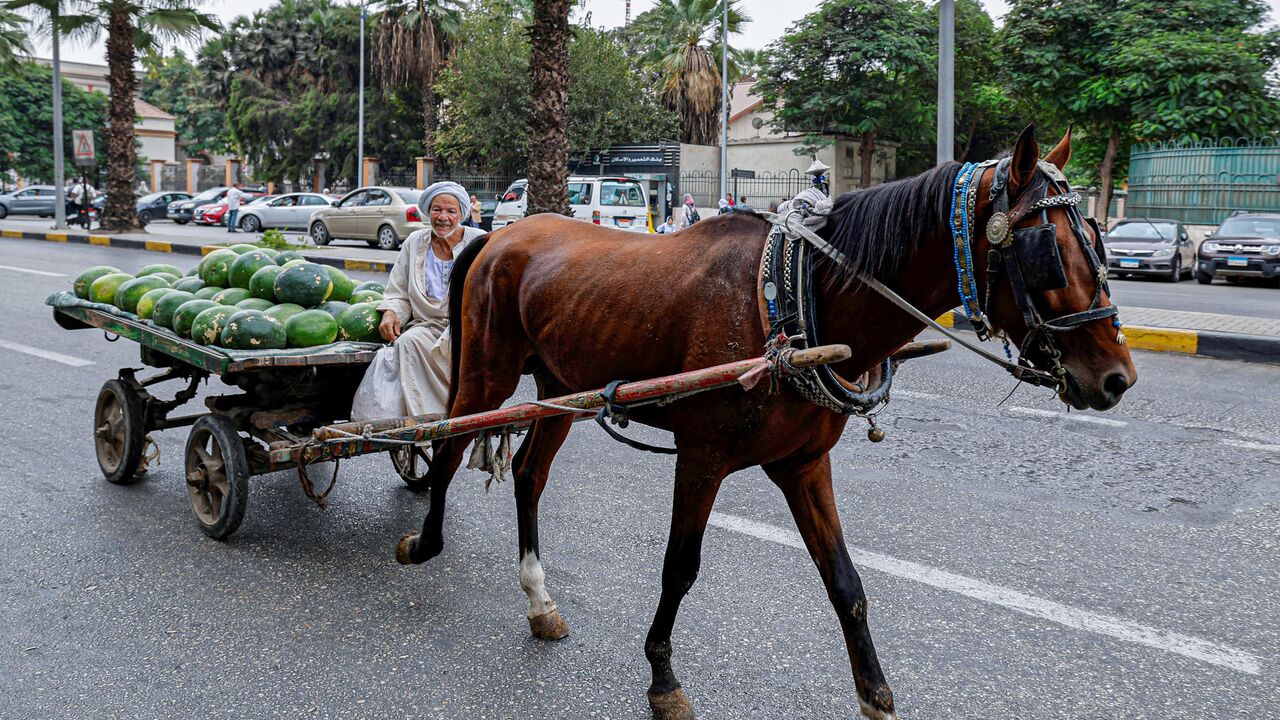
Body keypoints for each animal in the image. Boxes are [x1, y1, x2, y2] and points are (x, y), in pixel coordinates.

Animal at [394, 126, 1136, 712]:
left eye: (1097, 238)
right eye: (1048, 250)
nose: (1116, 377)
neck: (796, 300)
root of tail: (501, 234)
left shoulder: (803, 464)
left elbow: (846, 582)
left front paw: (875, 691)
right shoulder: (701, 459)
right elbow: (680, 567)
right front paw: (662, 676)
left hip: (559, 387)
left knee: (528, 474)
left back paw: (538, 598)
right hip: (488, 372)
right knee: (447, 444)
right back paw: (425, 540)